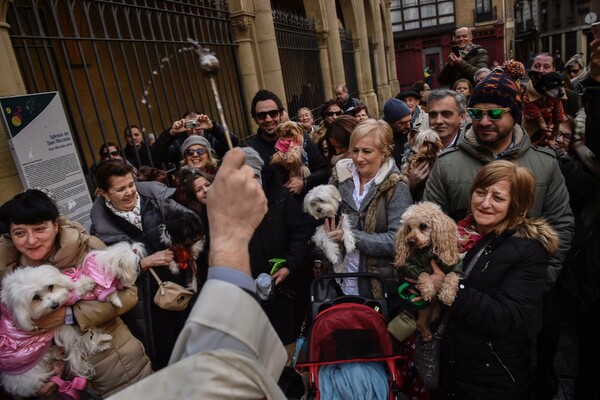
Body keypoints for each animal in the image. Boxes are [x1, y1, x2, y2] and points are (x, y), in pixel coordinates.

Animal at [0, 264, 112, 398]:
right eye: (35, 297)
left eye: (50, 286)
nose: (55, 305)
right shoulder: (60, 328)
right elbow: (83, 339)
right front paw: (101, 342)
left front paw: (84, 283)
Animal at [396, 202, 462, 340]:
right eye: (408, 228)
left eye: (423, 226)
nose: (410, 241)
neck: (426, 250)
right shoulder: (410, 265)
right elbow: (423, 273)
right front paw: (428, 290)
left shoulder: (455, 265)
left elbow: (452, 276)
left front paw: (447, 295)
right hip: (425, 307)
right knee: (420, 322)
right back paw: (426, 334)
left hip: (435, 310)